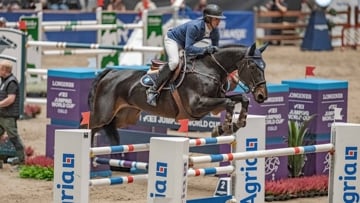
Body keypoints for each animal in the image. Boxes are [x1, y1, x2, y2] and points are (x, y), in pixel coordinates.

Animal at [87, 42, 268, 145]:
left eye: (264, 66)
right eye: (253, 66)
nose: (262, 96)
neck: (209, 69)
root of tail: (109, 73)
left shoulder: (216, 101)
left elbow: (242, 99)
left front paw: (238, 124)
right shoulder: (197, 106)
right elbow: (230, 103)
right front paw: (222, 129)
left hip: (125, 116)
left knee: (104, 128)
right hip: (103, 115)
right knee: (89, 127)